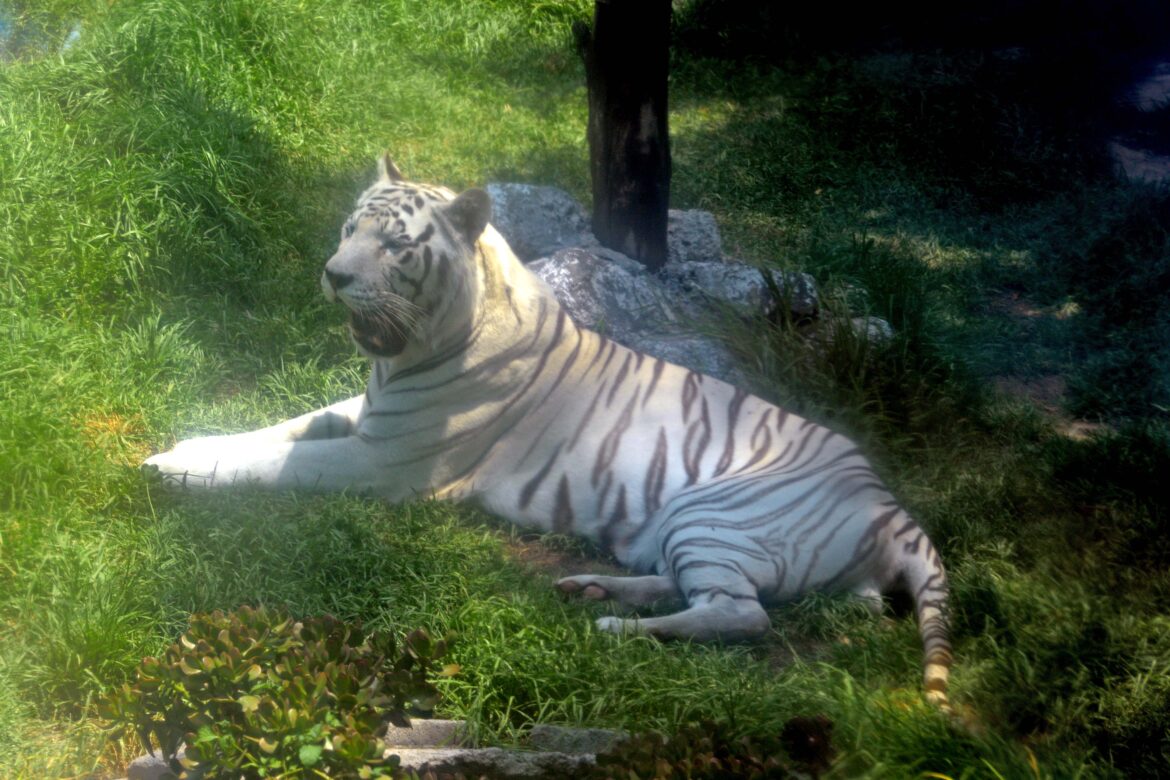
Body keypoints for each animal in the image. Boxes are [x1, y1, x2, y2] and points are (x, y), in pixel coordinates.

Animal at [144, 155, 952, 707]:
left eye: (396, 246)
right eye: (350, 229)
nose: (333, 275)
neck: (405, 353)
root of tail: (893, 508)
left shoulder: (386, 460)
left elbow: (282, 466)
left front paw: (171, 470)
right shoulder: (367, 413)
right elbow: (278, 430)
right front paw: (188, 443)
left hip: (712, 512)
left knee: (741, 615)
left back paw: (613, 629)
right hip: (681, 527)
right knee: (697, 590)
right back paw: (592, 589)